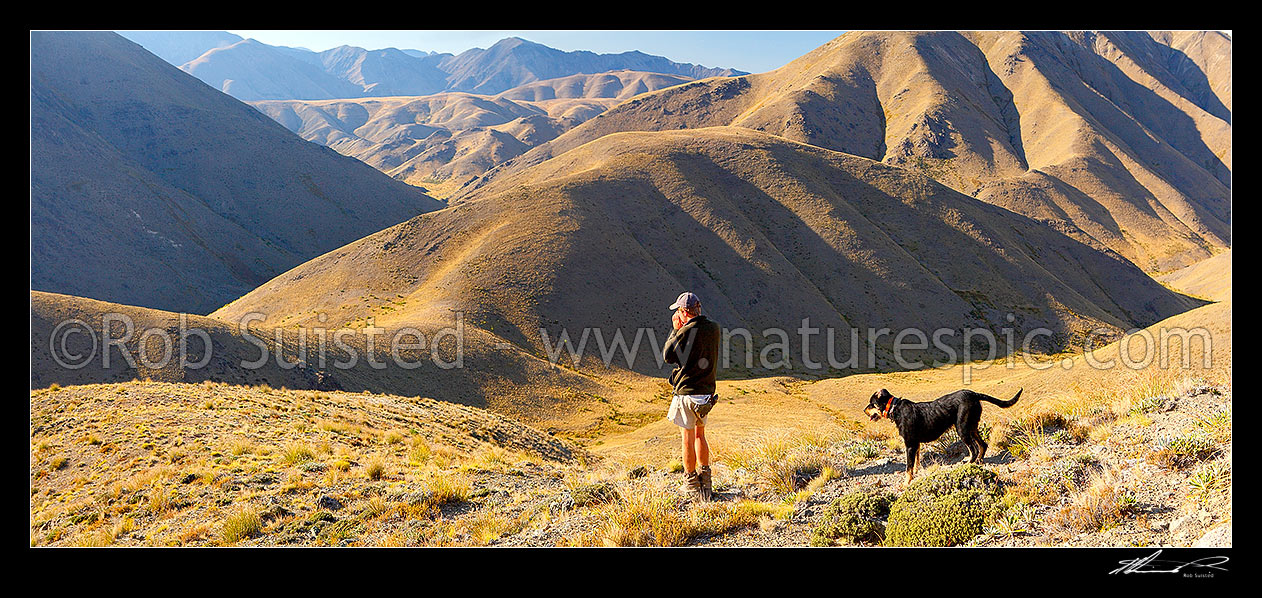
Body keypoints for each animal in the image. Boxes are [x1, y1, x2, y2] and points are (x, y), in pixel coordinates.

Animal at [863, 391, 1019, 484]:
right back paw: (979, 461)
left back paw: (968, 464)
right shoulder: (916, 444)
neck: (895, 408)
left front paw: (906, 483)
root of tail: (973, 394)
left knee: (973, 449)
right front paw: (916, 473)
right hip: (972, 426)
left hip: (962, 428)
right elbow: (916, 463)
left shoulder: (910, 445)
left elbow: (908, 467)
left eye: (872, 404)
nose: (864, 410)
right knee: (983, 445)